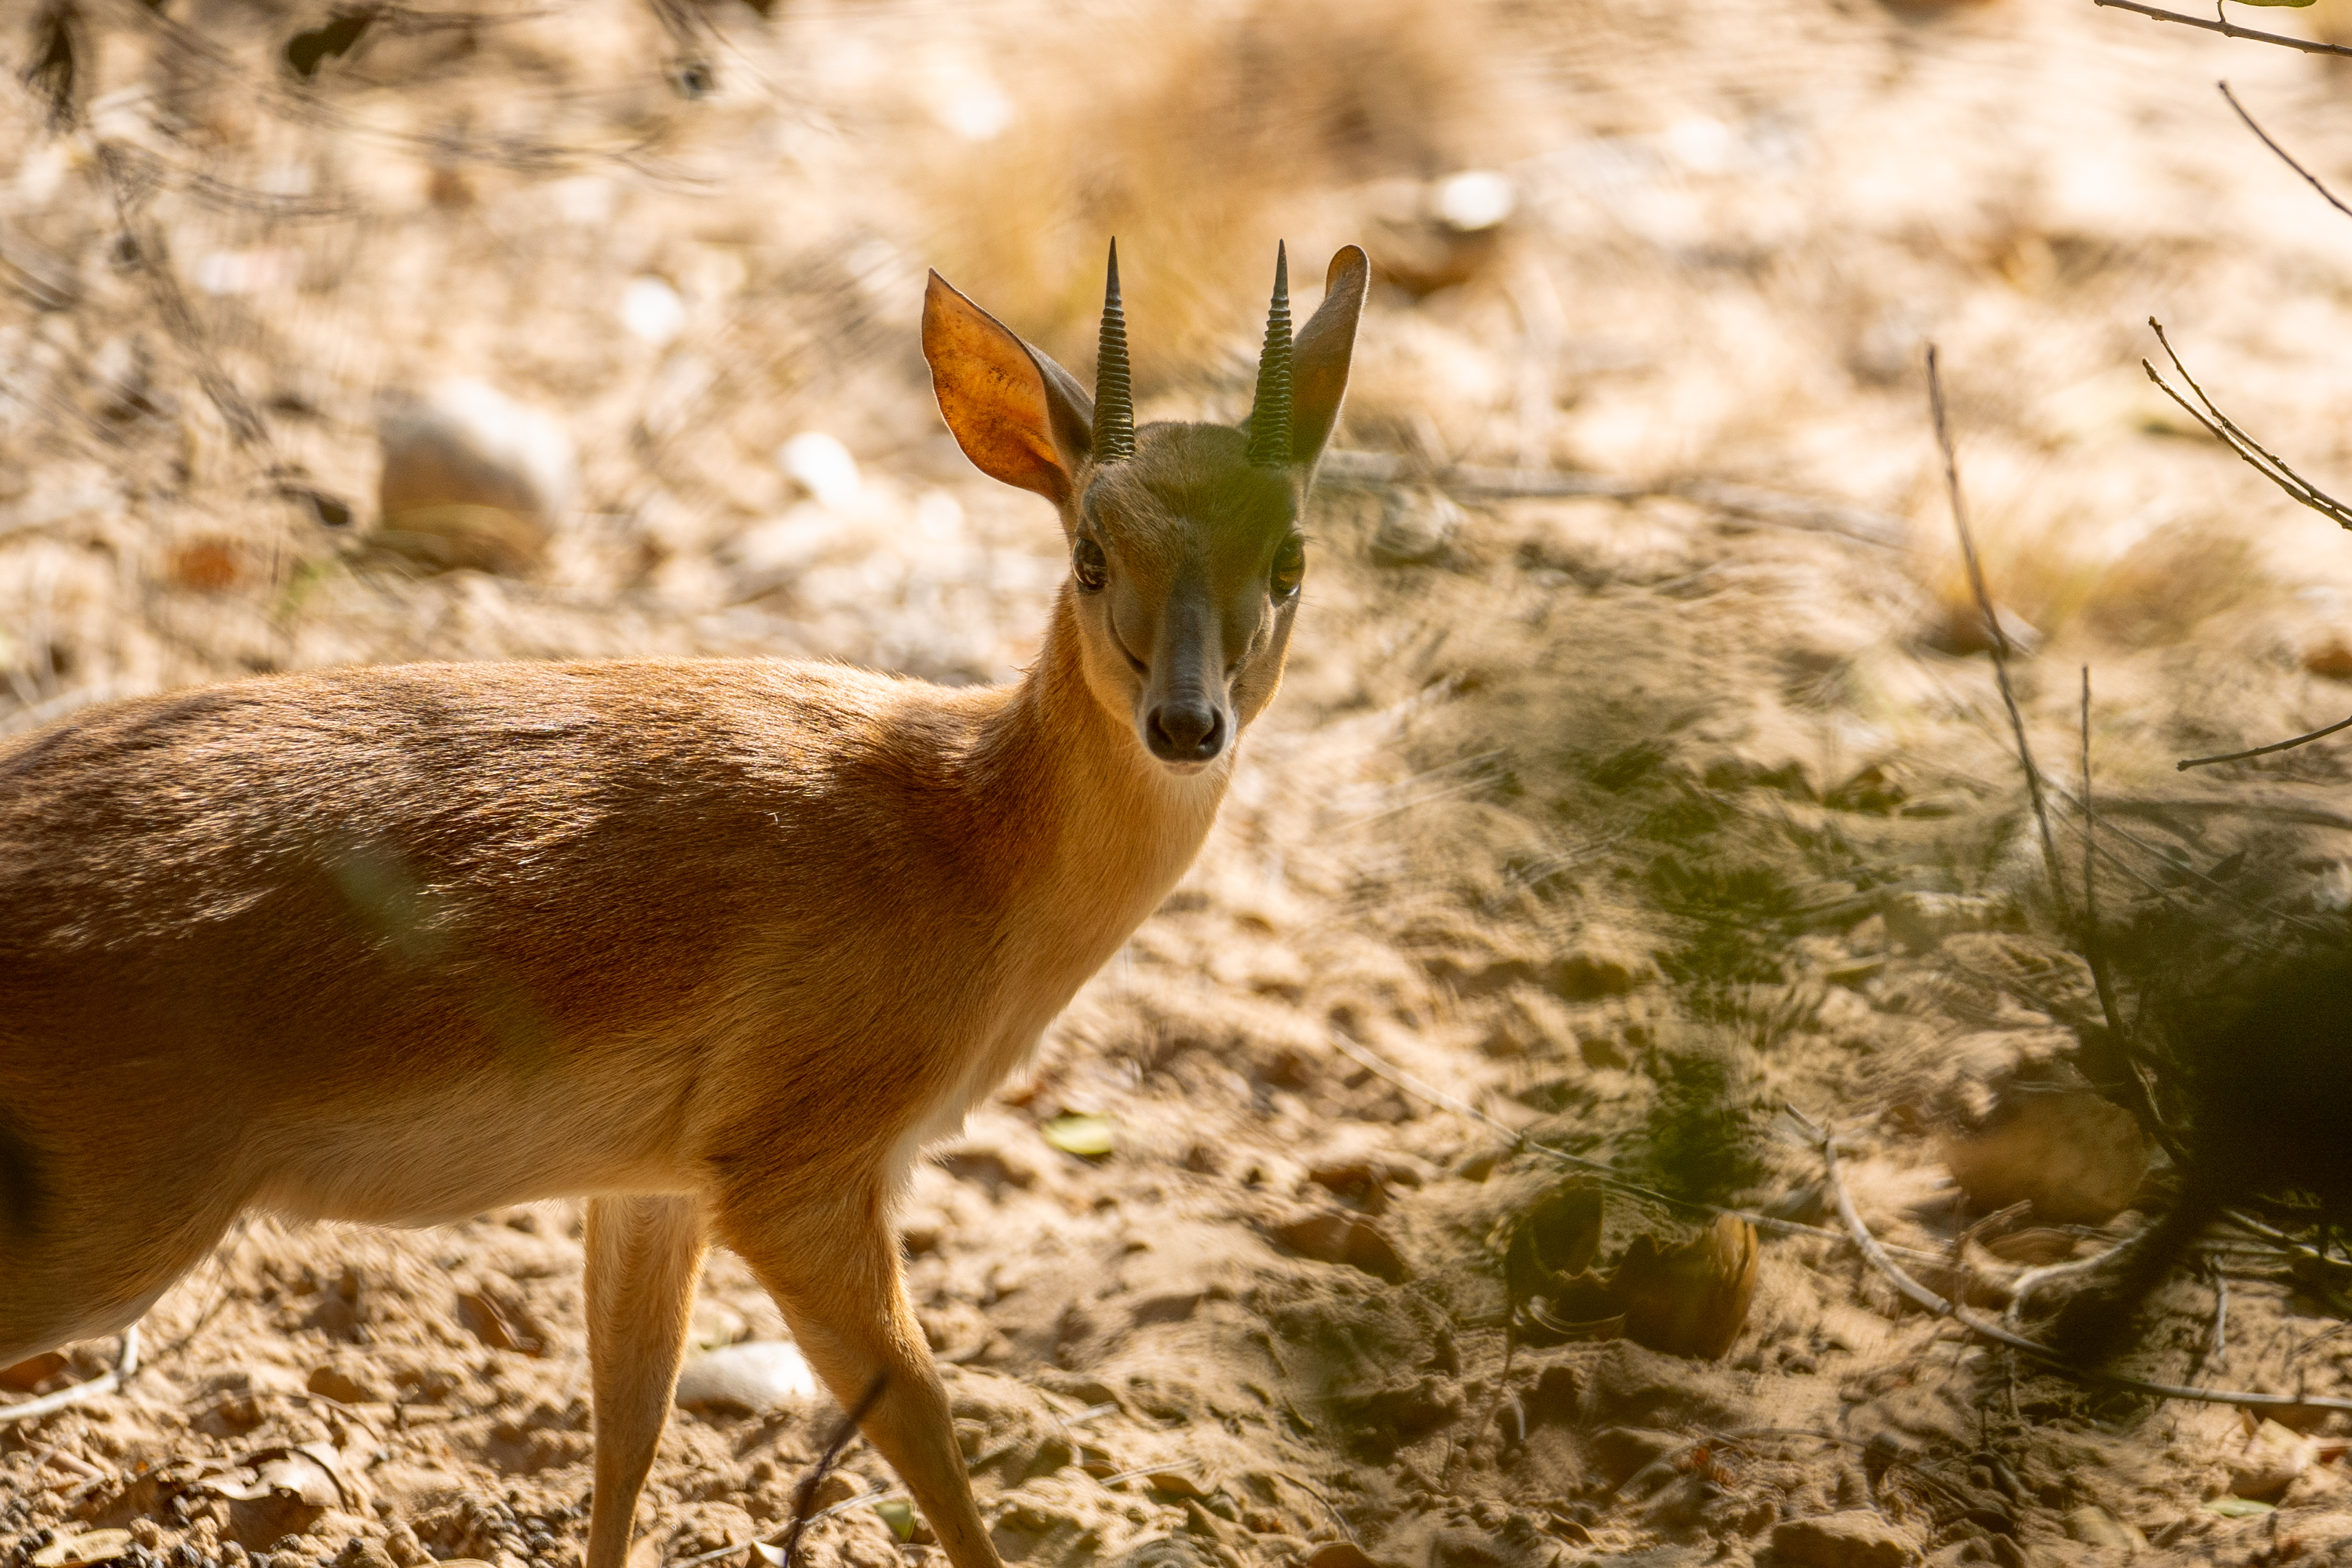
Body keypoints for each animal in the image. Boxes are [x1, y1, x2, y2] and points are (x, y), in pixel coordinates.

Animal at [0, 241, 1369, 1568]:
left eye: (1289, 559)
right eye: (1090, 553)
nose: (1186, 722)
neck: (966, 835)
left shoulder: (650, 1185)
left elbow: (630, 1422)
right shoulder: (797, 1176)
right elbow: (923, 1423)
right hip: (113, 1231)